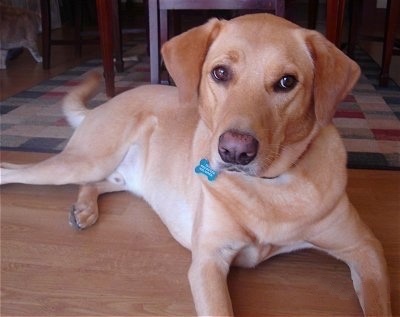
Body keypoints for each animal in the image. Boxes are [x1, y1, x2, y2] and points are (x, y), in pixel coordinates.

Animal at [1, 13, 392, 314]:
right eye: (220, 73)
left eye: (286, 81)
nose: (235, 151)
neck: (269, 188)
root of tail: (103, 105)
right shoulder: (208, 263)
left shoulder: (366, 250)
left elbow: (378, 303)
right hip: (83, 160)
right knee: (14, 171)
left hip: (118, 176)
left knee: (95, 183)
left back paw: (84, 208)